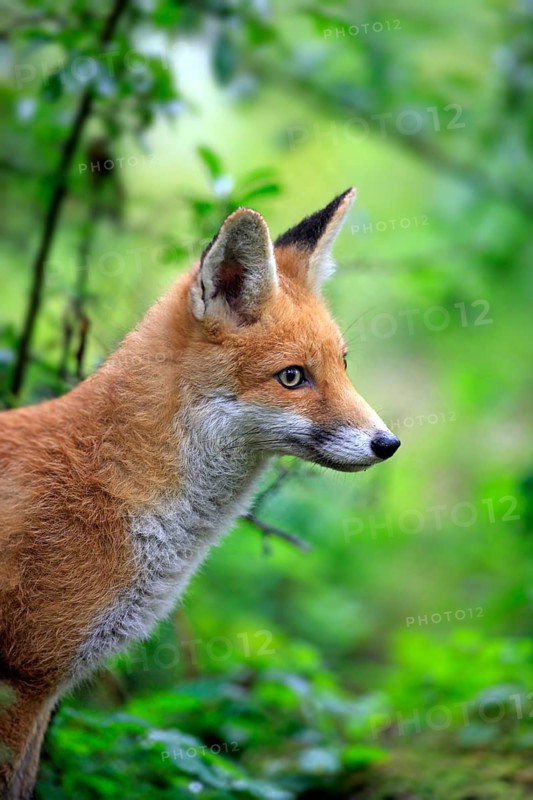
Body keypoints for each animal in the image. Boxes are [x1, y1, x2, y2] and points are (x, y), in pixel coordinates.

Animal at [0, 188, 400, 798]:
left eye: (343, 364)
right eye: (292, 377)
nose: (389, 443)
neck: (114, 487)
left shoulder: (45, 689)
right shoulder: (25, 679)